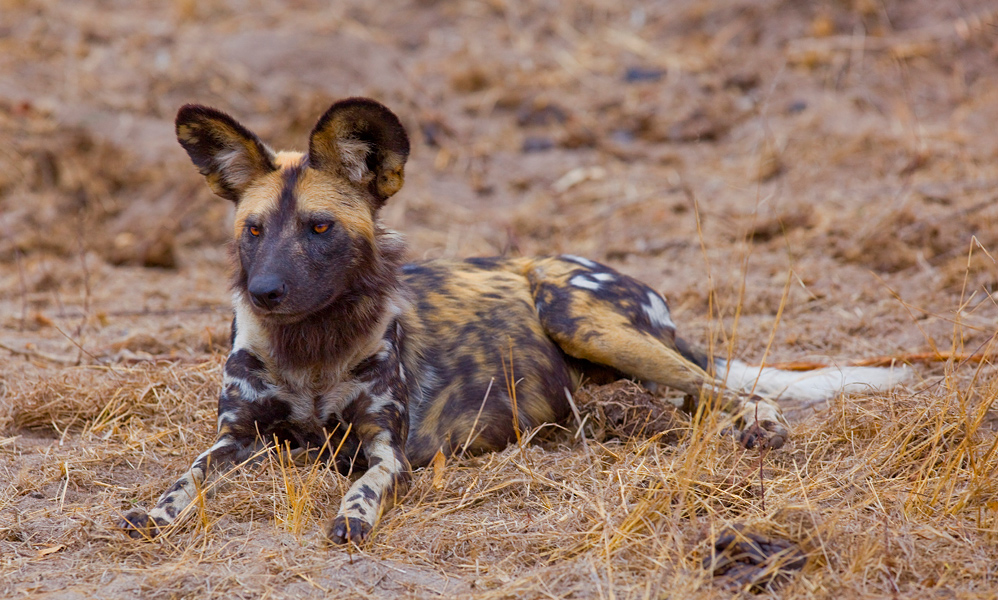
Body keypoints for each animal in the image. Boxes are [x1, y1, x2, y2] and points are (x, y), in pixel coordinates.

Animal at [119, 96, 908, 540]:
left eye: (319, 228)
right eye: (253, 230)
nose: (266, 291)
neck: (310, 348)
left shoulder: (385, 450)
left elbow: (363, 487)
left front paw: (352, 516)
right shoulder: (237, 438)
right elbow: (185, 476)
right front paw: (156, 512)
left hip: (580, 315)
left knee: (724, 387)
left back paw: (758, 426)